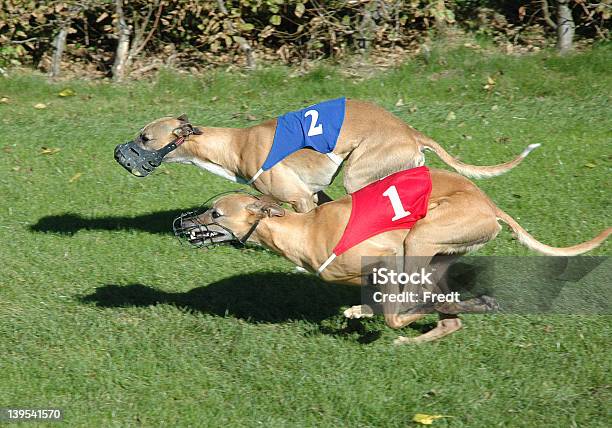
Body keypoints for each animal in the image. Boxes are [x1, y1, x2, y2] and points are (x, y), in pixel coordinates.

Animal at [115, 100, 540, 214]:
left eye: (145, 137)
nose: (118, 154)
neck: (233, 144)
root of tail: (411, 132)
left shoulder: (301, 198)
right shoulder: (317, 192)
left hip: (359, 172)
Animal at [173, 167, 612, 344]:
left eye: (216, 213)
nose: (182, 224)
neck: (304, 229)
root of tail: (489, 205)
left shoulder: (386, 256)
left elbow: (394, 309)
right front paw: (358, 311)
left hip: (421, 239)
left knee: (418, 306)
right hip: (438, 256)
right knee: (445, 313)